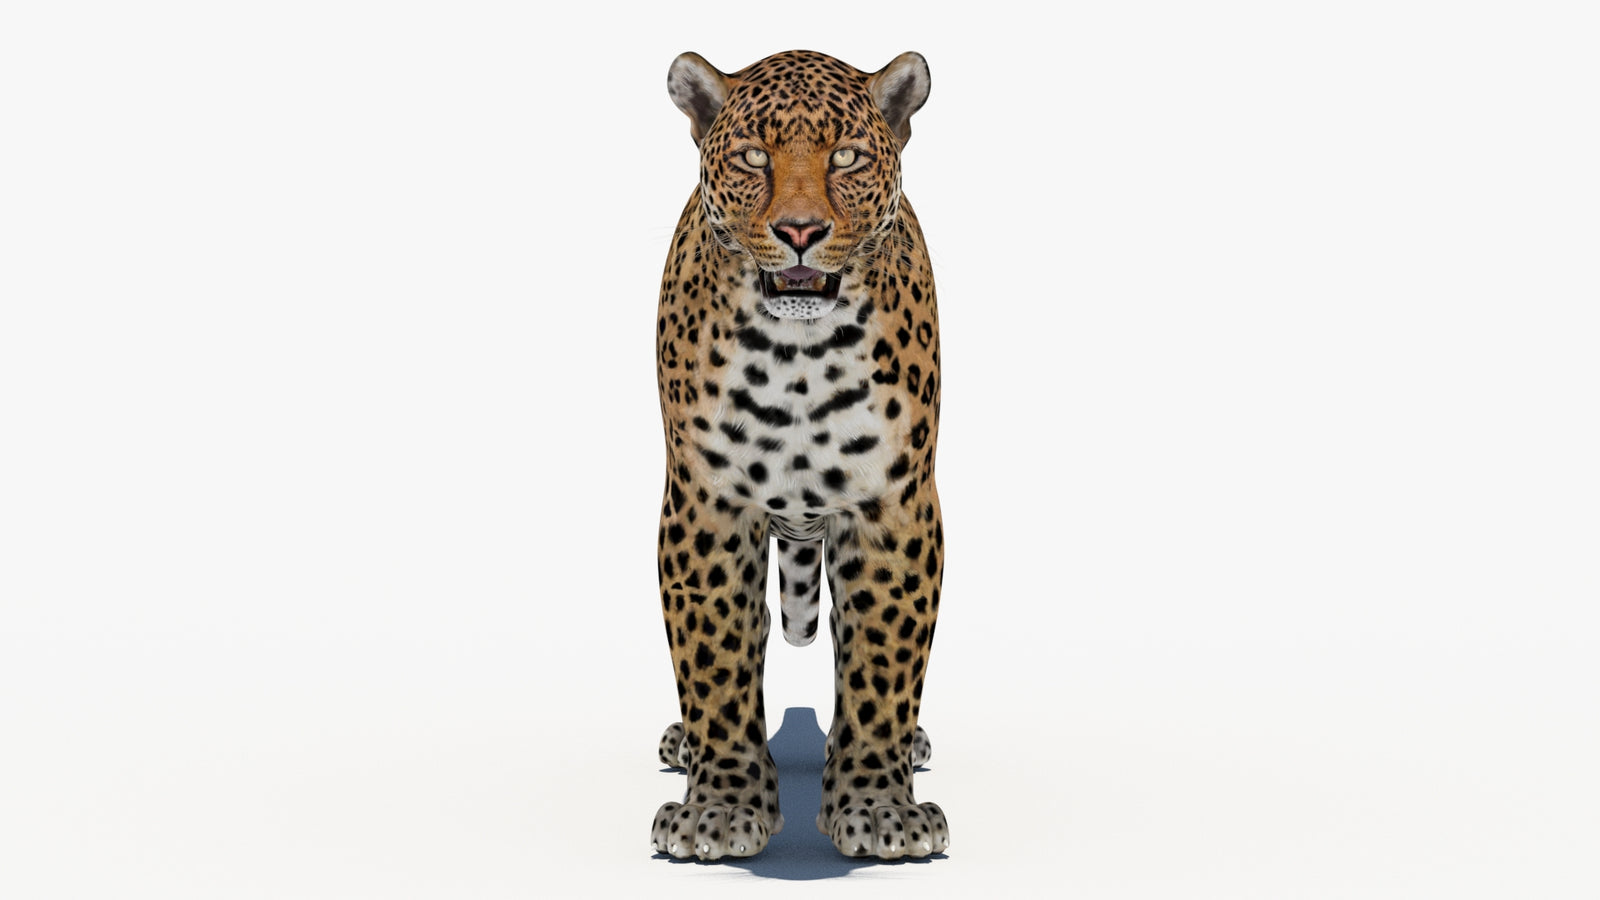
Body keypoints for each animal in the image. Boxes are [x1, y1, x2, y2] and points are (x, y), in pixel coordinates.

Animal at [651, 49, 948, 862]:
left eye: (846, 157)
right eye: (754, 156)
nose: (800, 231)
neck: (798, 354)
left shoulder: (893, 506)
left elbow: (881, 662)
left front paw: (878, 807)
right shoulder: (708, 505)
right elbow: (716, 661)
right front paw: (720, 807)